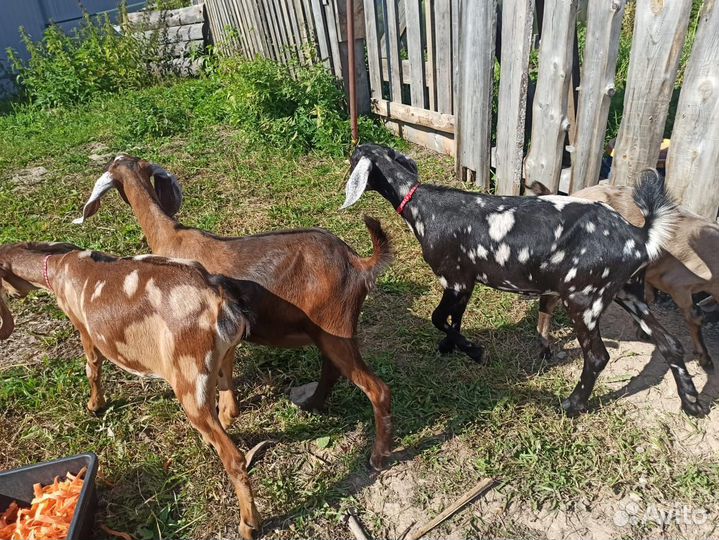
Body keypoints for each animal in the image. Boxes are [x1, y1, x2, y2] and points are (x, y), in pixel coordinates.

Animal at [0, 242, 261, 539]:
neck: (59, 267)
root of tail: (221, 303)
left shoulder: (82, 326)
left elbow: (92, 366)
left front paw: (94, 405)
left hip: (189, 377)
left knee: (234, 458)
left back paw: (248, 524)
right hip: (224, 358)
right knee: (229, 407)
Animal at [73, 155, 394, 470]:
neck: (172, 236)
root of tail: (360, 264)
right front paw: (228, 415)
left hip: (336, 329)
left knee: (377, 390)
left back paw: (377, 457)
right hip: (328, 333)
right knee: (332, 370)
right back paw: (311, 405)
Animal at [528, 181, 719, 370]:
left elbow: (648, 298)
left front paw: (642, 328)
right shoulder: (678, 284)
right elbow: (695, 316)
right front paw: (705, 358)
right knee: (548, 301)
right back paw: (545, 348)